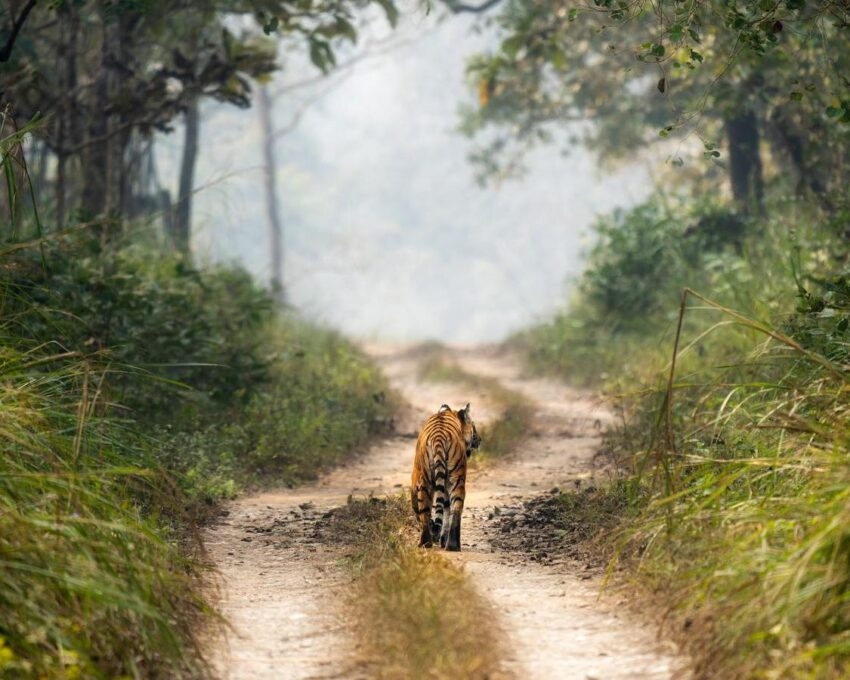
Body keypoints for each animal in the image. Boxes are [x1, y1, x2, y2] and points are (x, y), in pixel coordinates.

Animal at [411, 403, 481, 551]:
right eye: (473, 426)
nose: (480, 439)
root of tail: (439, 436)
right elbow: (445, 510)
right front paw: (441, 539)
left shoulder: (414, 480)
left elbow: (417, 508)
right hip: (457, 479)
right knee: (455, 508)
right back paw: (451, 545)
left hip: (425, 479)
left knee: (425, 511)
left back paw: (425, 543)